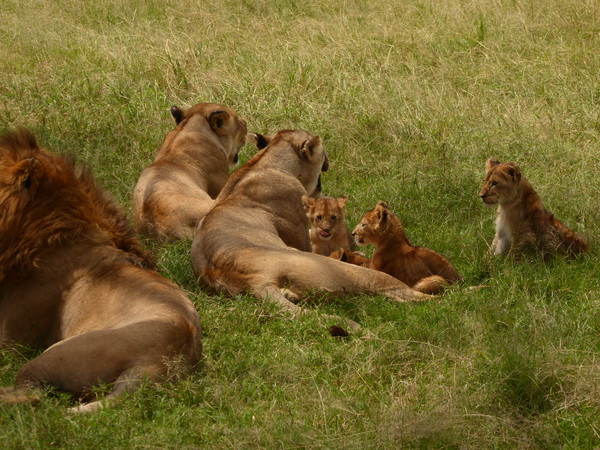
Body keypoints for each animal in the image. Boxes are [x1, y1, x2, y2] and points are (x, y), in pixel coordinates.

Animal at [190, 130, 428, 326]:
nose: (329, 161)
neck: (265, 161)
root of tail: (253, 281)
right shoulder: (302, 234)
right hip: (340, 271)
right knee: (405, 293)